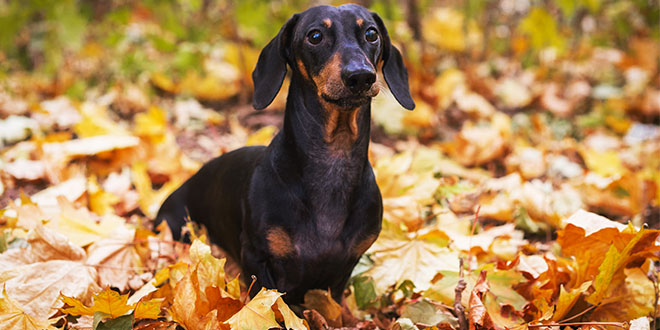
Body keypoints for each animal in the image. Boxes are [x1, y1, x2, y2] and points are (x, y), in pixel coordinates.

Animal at [154, 3, 412, 306]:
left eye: (372, 34)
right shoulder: (257, 260)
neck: (333, 159)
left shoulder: (345, 268)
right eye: (315, 36)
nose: (360, 76)